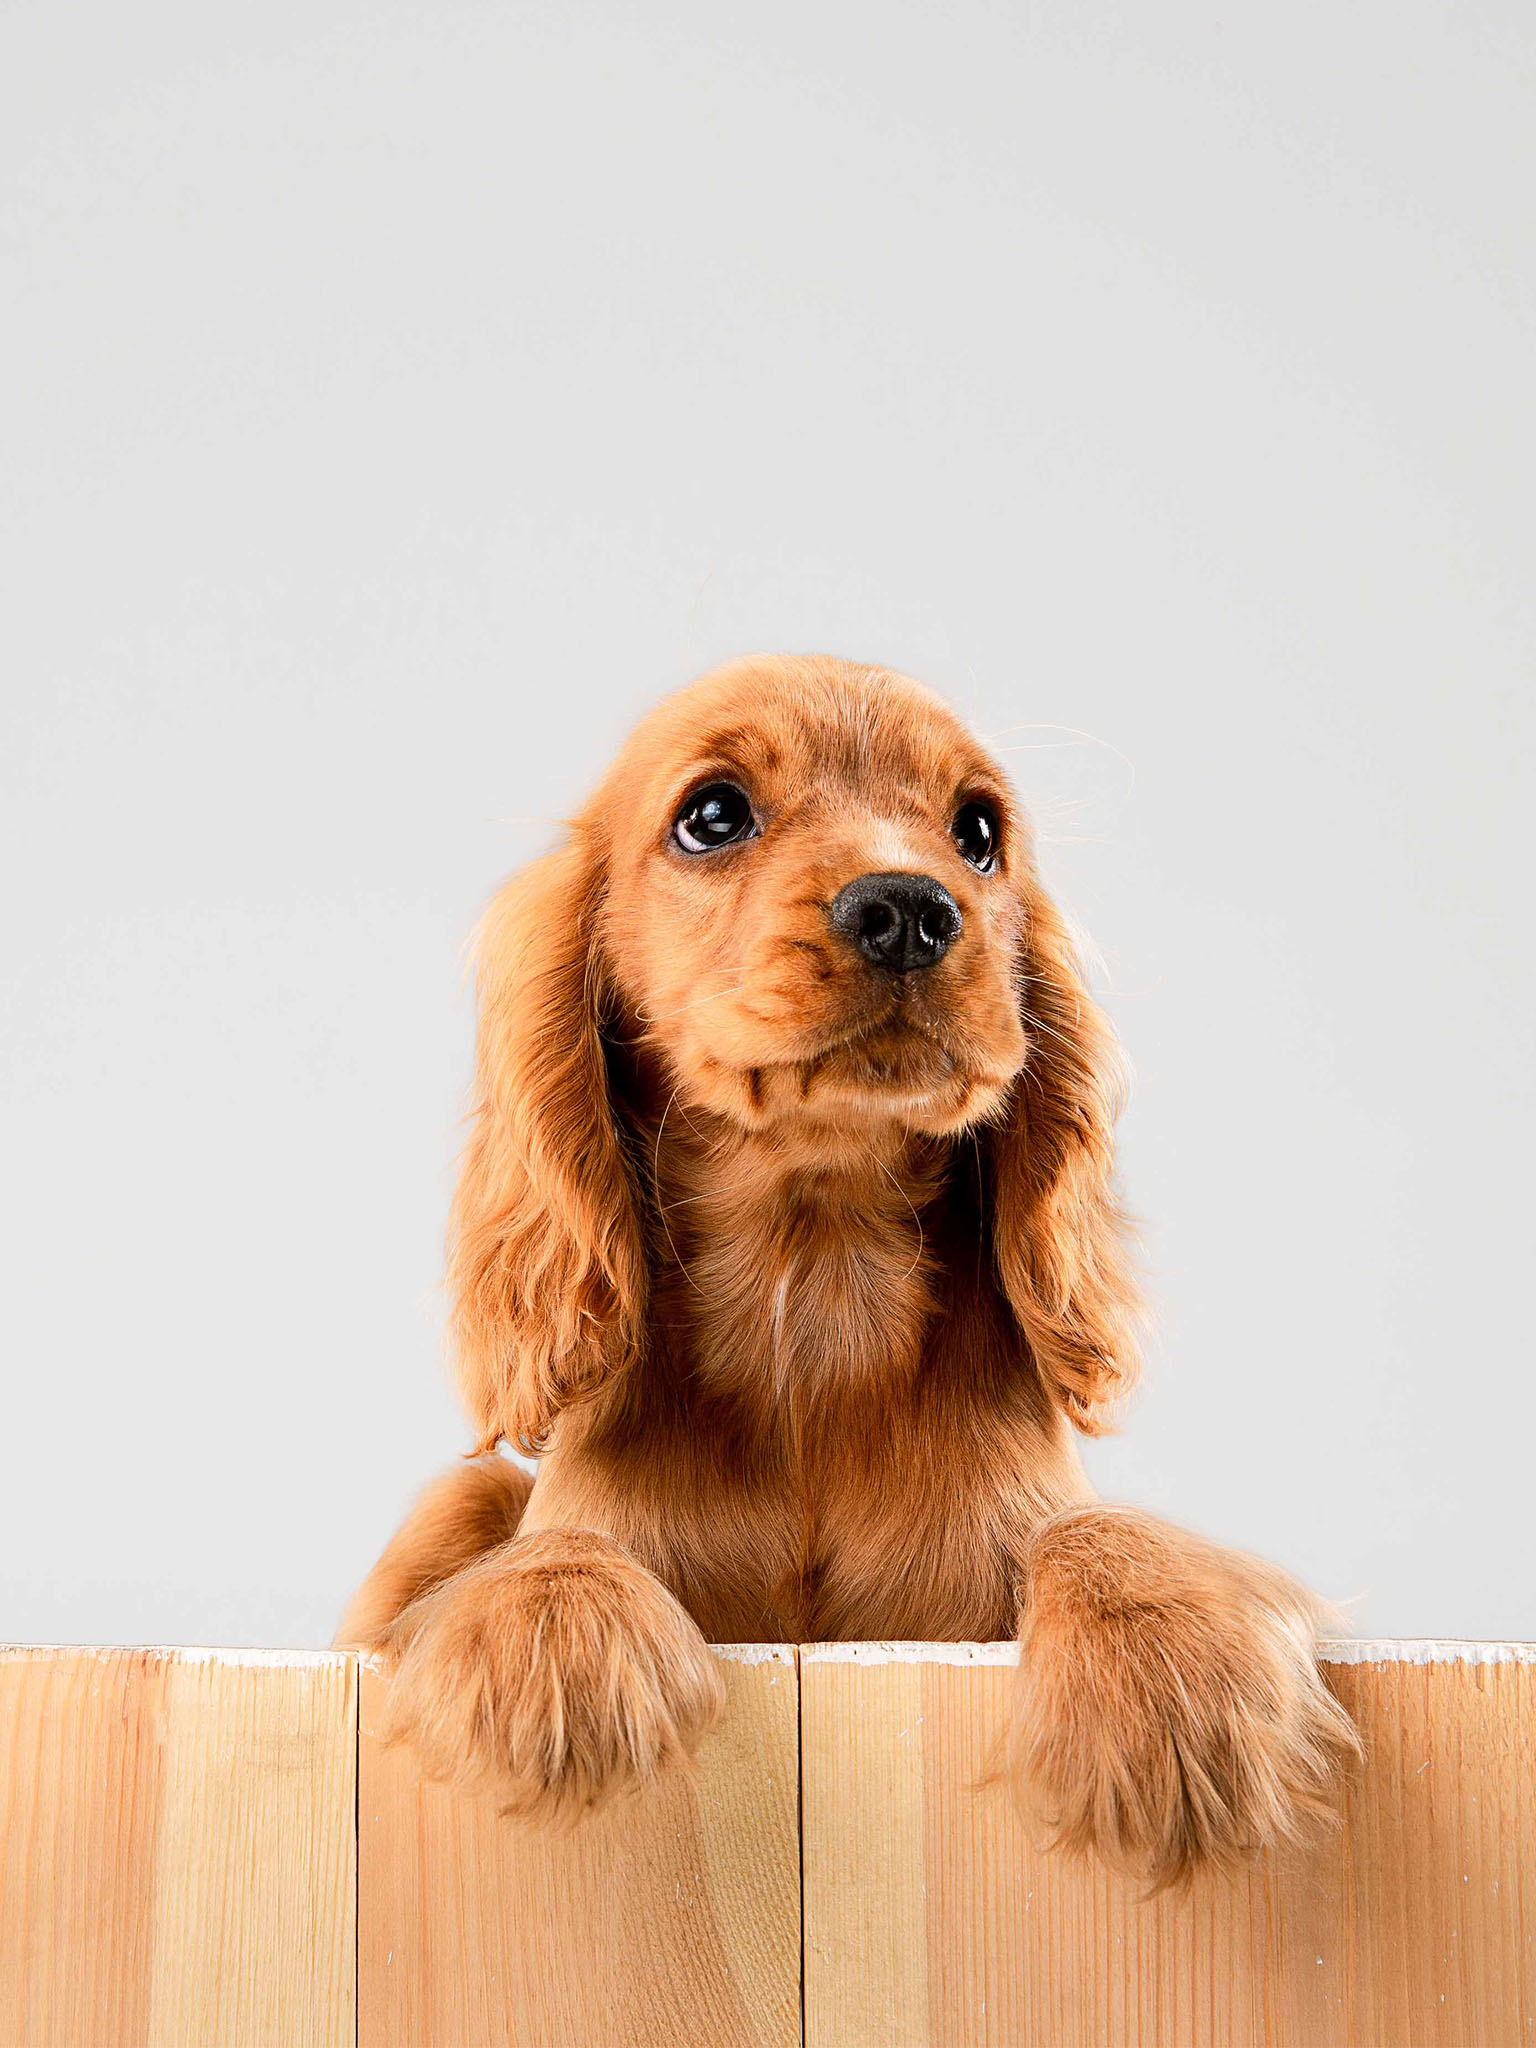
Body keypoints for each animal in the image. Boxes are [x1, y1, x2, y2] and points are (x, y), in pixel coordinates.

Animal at [339, 655, 1359, 1884]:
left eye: (979, 831)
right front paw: (554, 1656)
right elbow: (564, 1542)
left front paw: (1168, 1674)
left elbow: (1091, 1527)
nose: (911, 910)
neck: (814, 1269)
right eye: (713, 815)